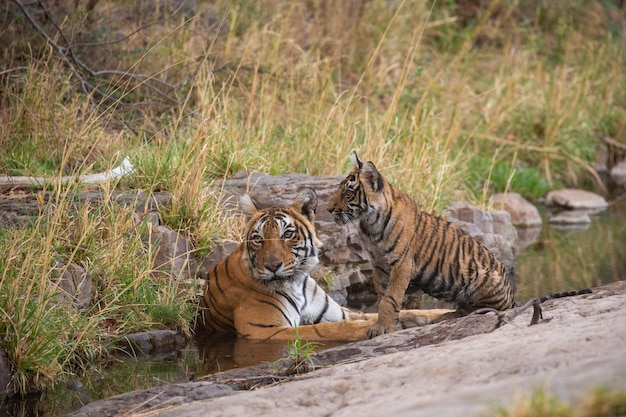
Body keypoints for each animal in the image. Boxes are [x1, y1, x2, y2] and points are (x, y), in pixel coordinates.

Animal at [197, 187, 446, 340]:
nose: (272, 266)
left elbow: (400, 311)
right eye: (259, 239)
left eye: (287, 234)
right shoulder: (265, 332)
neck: (296, 283)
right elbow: (325, 330)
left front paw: (440, 313)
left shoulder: (341, 312)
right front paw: (370, 329)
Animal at [324, 153, 516, 338]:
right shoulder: (379, 264)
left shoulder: (402, 263)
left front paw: (382, 328)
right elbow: (382, 296)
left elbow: (390, 298)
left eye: (348, 192)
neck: (370, 223)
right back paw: (445, 316)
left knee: (484, 309)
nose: (328, 209)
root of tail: (511, 295)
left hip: (483, 276)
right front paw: (384, 325)